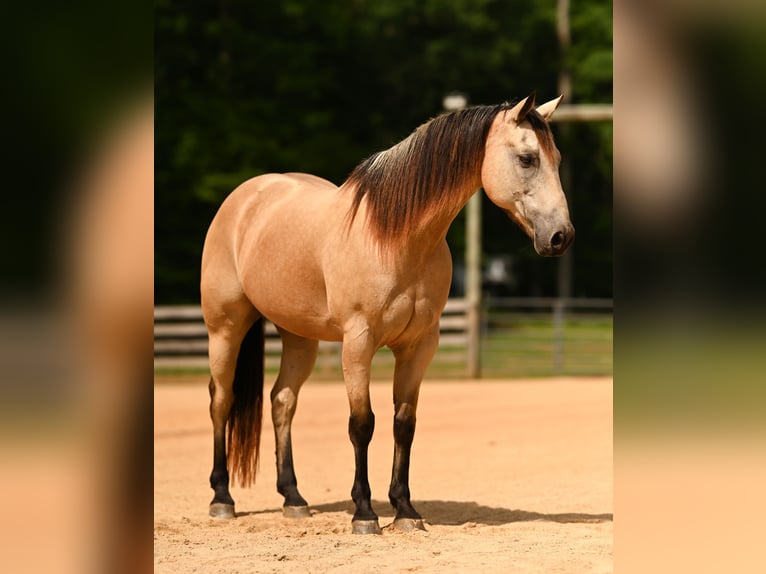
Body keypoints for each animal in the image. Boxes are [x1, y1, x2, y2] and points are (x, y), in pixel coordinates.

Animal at [200, 93, 573, 534]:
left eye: (557, 158)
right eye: (527, 158)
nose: (561, 236)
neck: (396, 237)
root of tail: (245, 197)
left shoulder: (419, 346)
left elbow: (404, 423)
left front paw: (405, 510)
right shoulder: (358, 343)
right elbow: (362, 423)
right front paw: (365, 512)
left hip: (300, 337)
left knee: (282, 402)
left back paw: (293, 498)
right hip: (225, 328)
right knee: (221, 400)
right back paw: (222, 498)